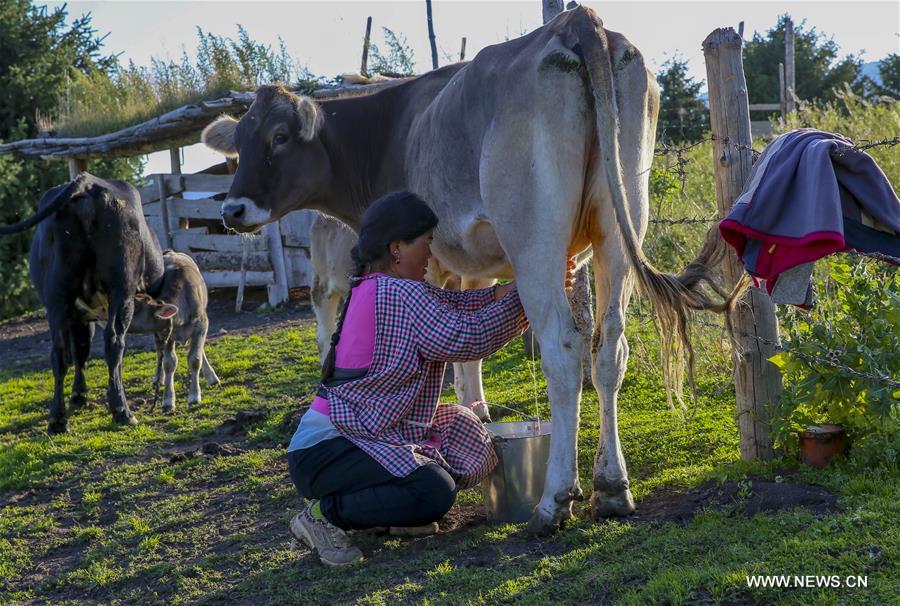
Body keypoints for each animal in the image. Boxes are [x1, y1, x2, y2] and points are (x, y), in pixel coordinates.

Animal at [1, 173, 165, 434]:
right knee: (114, 341)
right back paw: (122, 410)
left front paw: (78, 396)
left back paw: (57, 419)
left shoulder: (78, 315)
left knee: (59, 352)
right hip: (121, 288)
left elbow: (80, 351)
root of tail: (87, 182)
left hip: (57, 295)